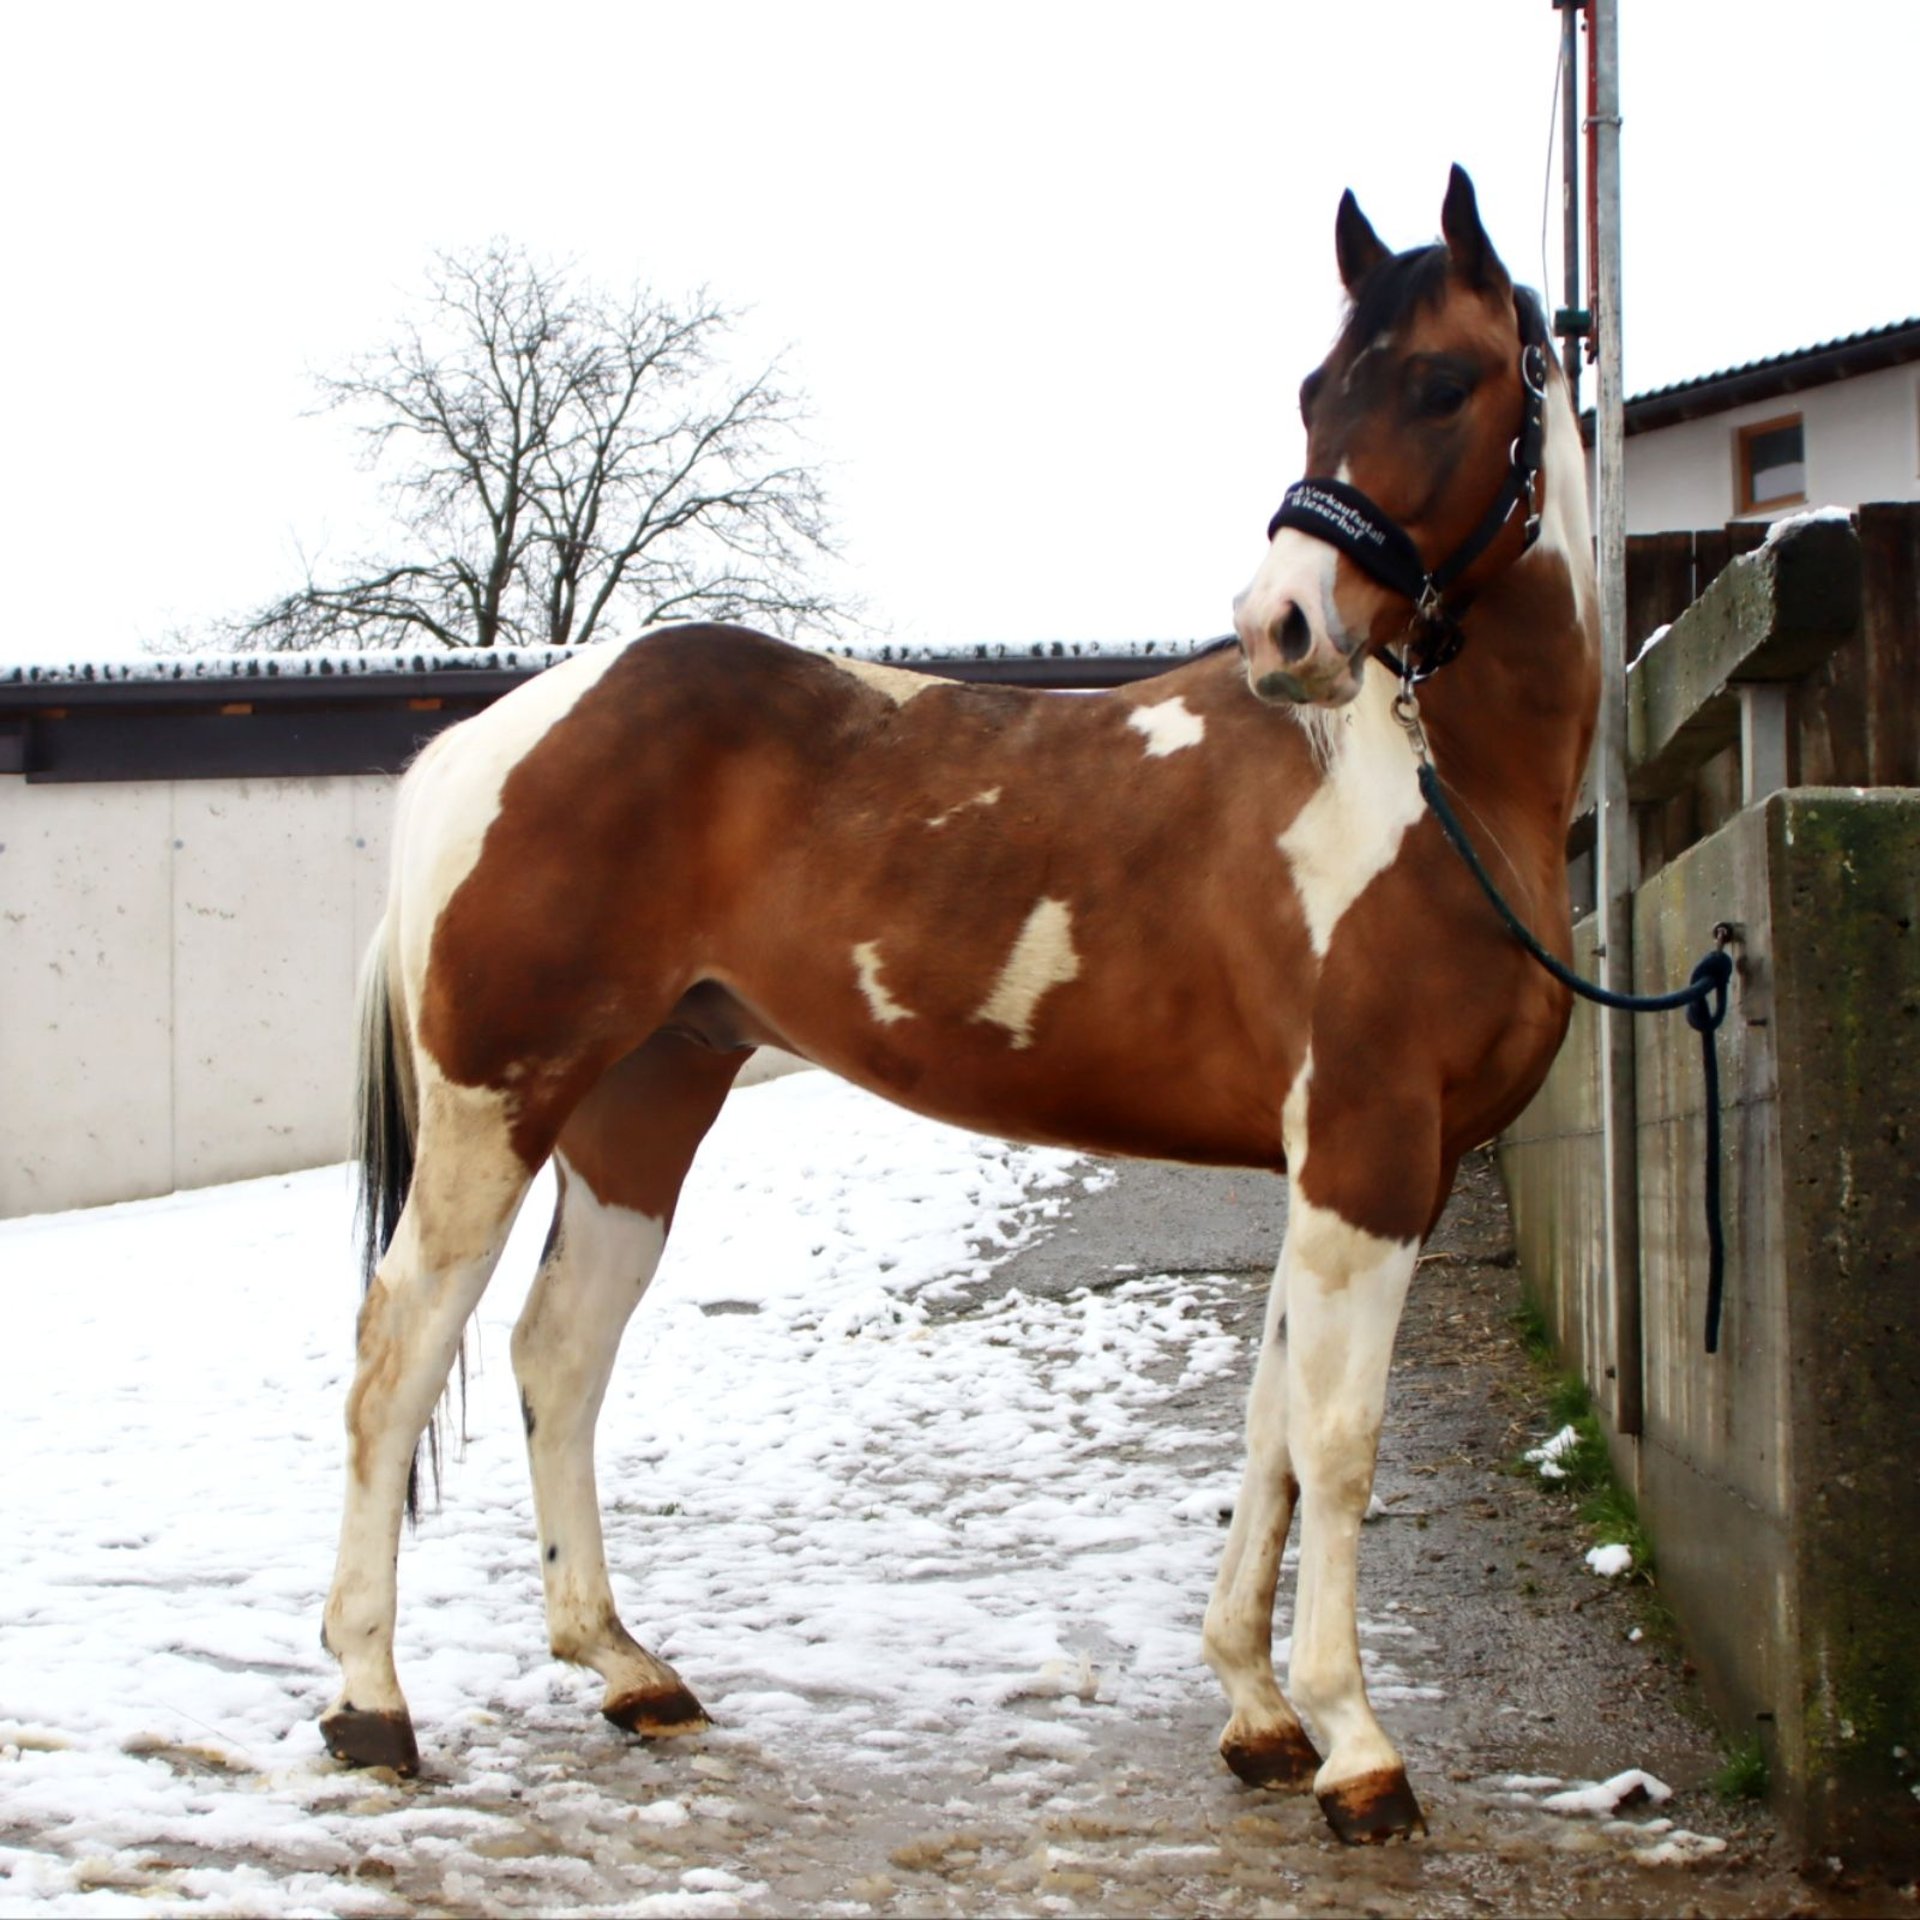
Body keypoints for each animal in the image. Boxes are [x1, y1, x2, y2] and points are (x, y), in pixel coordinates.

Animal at [322, 176, 1597, 1843]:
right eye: (1321, 391)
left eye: (1443, 383)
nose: (1284, 628)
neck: (1424, 789)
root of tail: (496, 732)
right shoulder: (1372, 1160)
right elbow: (1337, 1443)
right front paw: (1356, 1746)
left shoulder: (1338, 1172)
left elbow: (1267, 1432)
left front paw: (1258, 1714)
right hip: (500, 1103)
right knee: (398, 1357)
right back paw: (370, 1702)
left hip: (644, 1100)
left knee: (557, 1353)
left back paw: (628, 1672)